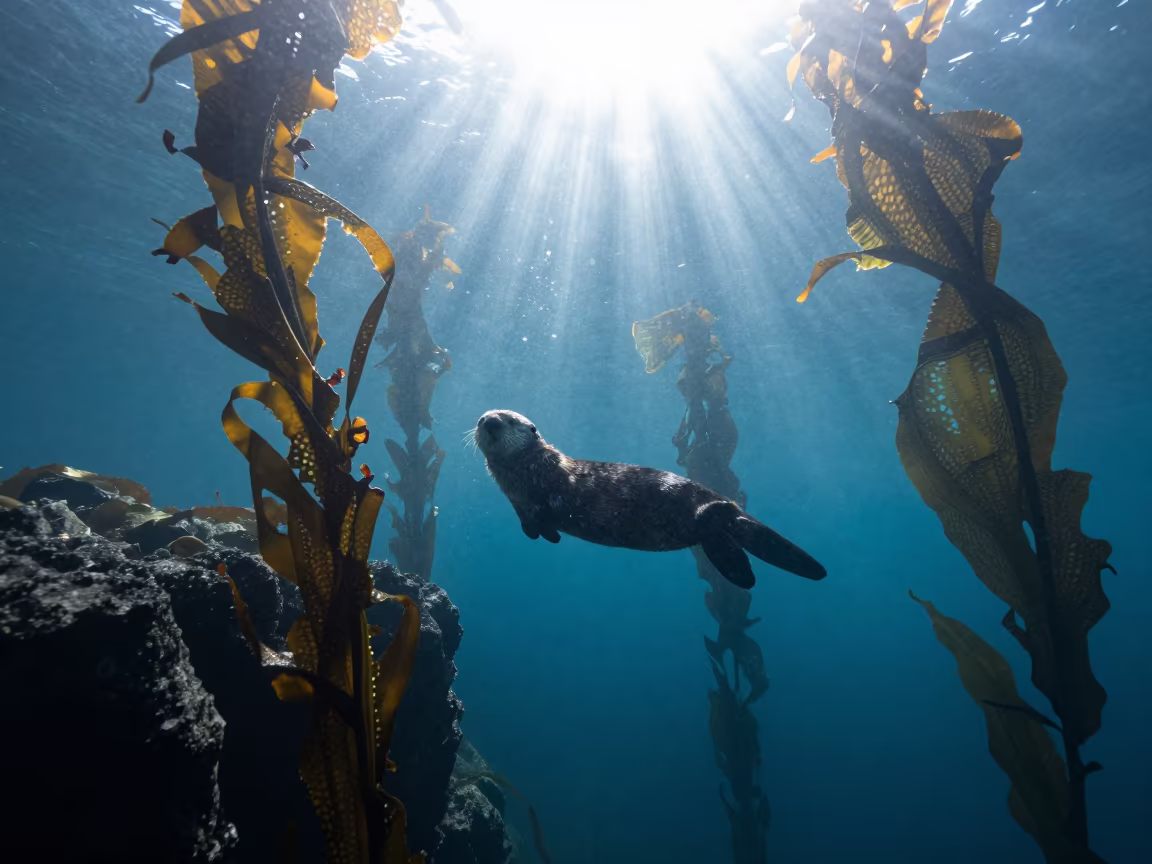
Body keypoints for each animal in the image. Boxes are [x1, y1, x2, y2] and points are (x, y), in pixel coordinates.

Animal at [472, 409, 826, 588]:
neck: (527, 474)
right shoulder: (519, 506)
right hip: (709, 539)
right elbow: (532, 528)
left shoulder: (554, 484)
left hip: (682, 499)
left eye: (510, 420)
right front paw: (547, 535)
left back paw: (725, 506)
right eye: (481, 419)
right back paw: (742, 570)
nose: (489, 422)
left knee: (716, 516)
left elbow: (552, 506)